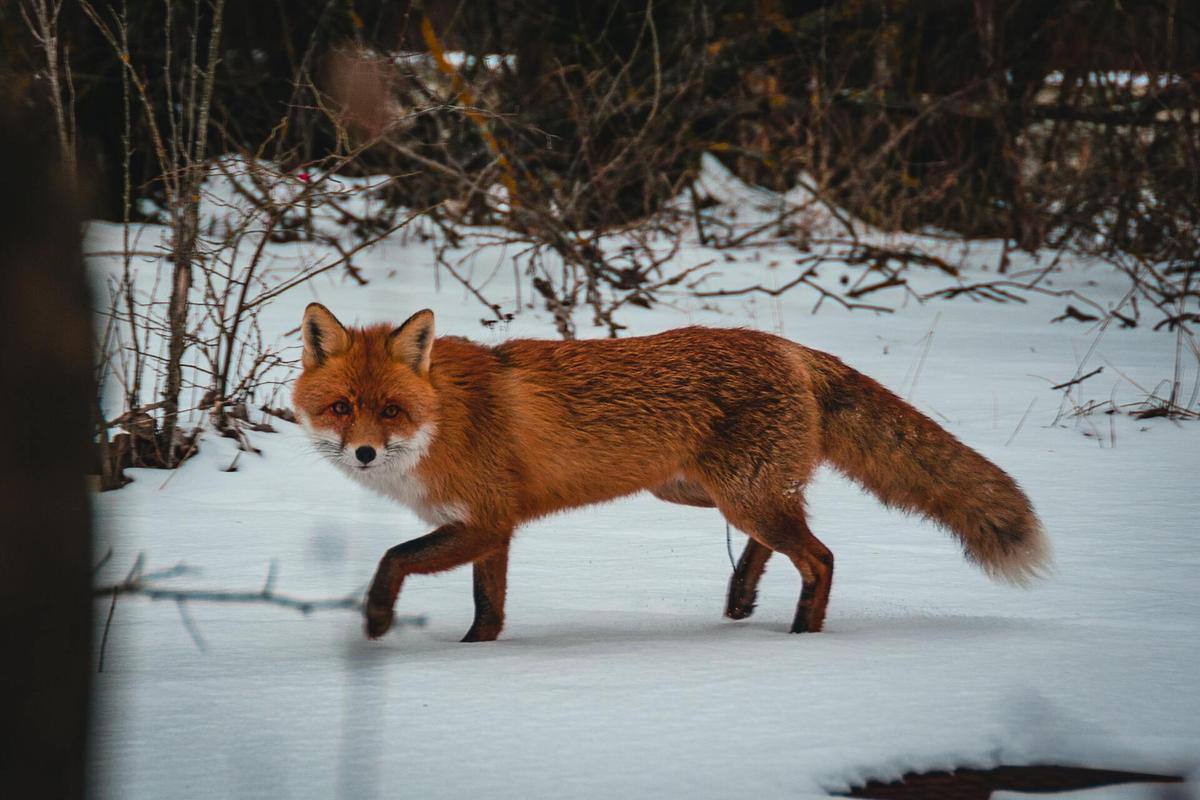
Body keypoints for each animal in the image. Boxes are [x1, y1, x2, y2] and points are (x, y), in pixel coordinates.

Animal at [292, 303, 1051, 642]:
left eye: (390, 410)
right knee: (786, 536)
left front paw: (378, 619)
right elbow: (490, 608)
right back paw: (742, 597)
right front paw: (477, 653)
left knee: (821, 556)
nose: (363, 454)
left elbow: (392, 558)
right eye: (341, 408)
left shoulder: (483, 521)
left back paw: (802, 637)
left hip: (735, 493)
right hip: (701, 490)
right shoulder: (492, 530)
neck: (444, 418)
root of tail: (790, 347)